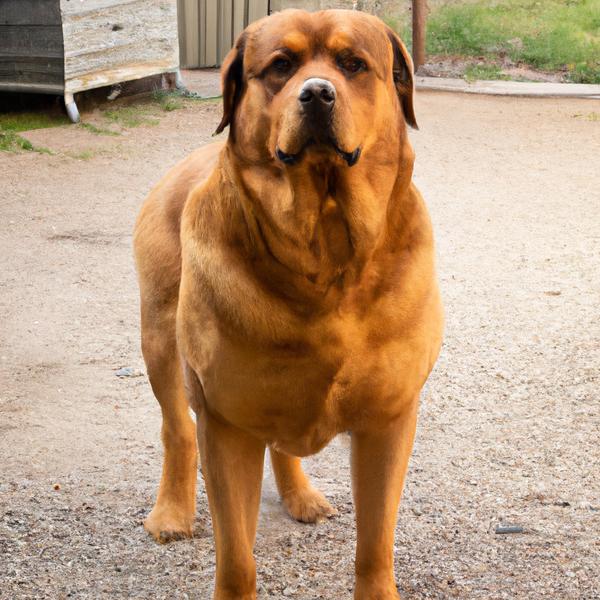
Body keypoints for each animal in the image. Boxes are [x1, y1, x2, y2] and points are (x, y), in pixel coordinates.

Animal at [136, 9, 442, 600]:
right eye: (280, 66)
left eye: (353, 64)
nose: (318, 93)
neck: (324, 250)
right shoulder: (226, 423)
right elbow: (237, 557)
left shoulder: (389, 419)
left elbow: (376, 542)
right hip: (159, 337)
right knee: (176, 429)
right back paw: (172, 512)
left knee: (281, 442)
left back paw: (301, 496)